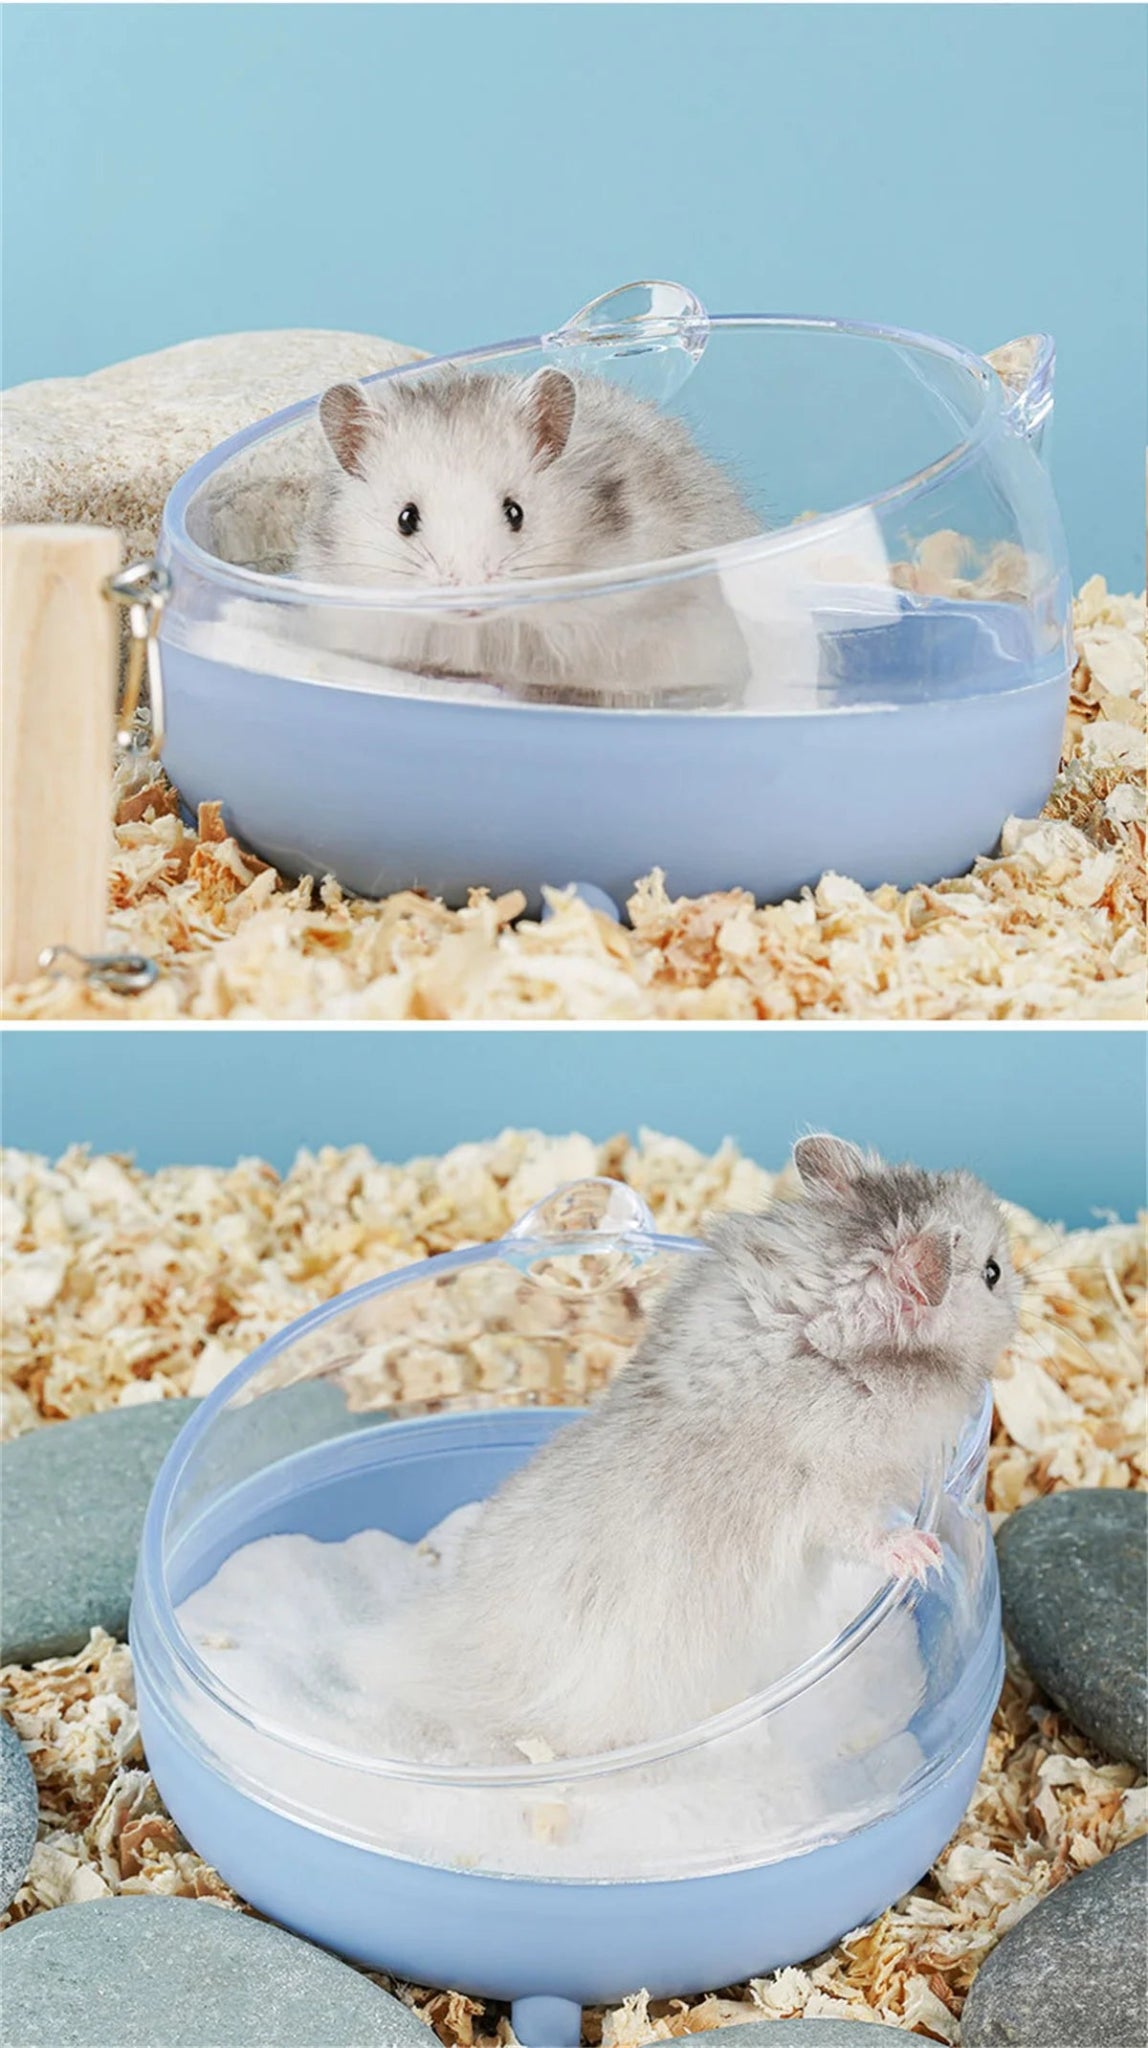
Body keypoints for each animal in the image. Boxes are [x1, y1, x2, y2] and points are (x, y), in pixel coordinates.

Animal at [373, 1135, 1020, 1763]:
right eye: (991, 1271)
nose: (1025, 1287)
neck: (828, 1327)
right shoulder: (835, 1485)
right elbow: (864, 1532)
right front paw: (922, 1553)